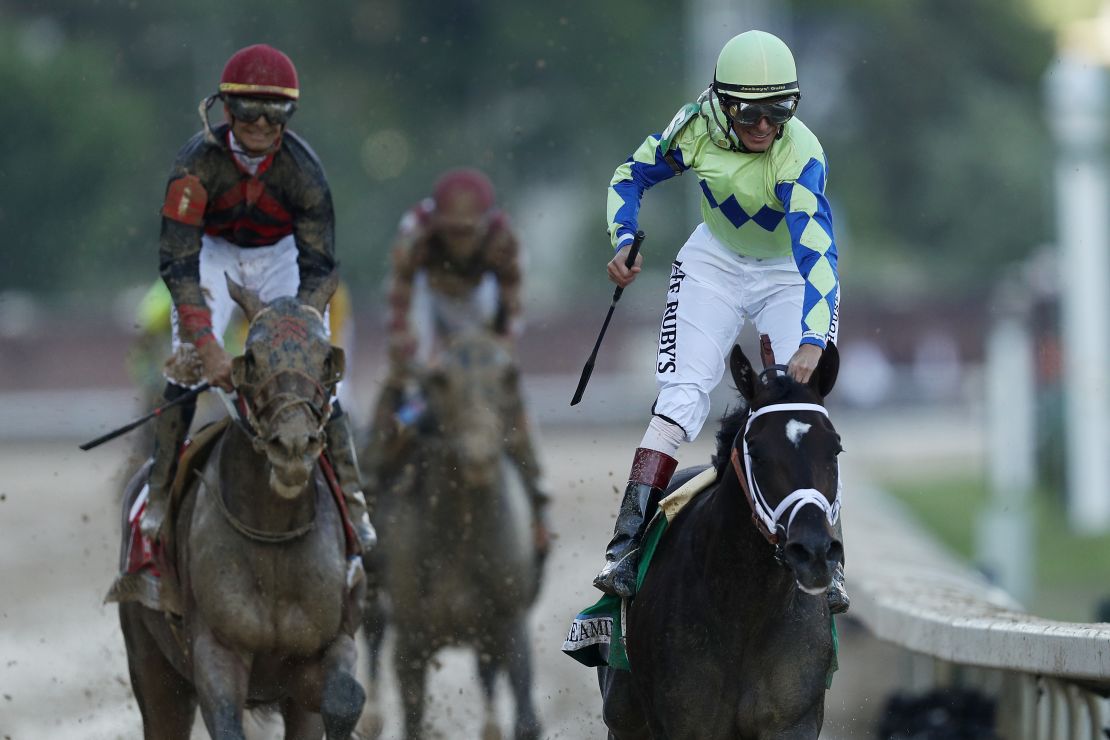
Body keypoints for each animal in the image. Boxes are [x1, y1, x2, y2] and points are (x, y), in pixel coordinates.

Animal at [119, 276, 366, 740]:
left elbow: (344, 698)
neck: (274, 532)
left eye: (326, 358)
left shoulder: (323, 646)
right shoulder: (216, 648)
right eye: (251, 358)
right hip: (150, 662)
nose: (293, 445)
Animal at [359, 332, 541, 740]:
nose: (478, 455)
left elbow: (526, 718)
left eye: (509, 375)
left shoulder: (510, 621)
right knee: (372, 634)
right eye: (440, 378)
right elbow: (412, 717)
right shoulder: (411, 638)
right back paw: (370, 717)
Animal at [599, 343, 839, 736]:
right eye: (756, 450)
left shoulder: (792, 721)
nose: (814, 551)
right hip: (623, 715)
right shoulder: (683, 723)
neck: (745, 611)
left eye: (835, 448)